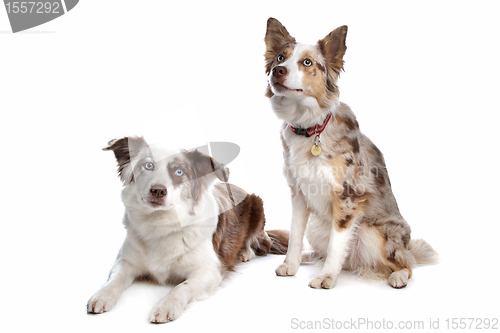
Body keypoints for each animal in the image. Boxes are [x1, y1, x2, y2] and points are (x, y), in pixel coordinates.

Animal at [87, 136, 288, 320]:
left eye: (179, 171)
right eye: (148, 166)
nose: (158, 191)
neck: (161, 222)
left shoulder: (209, 270)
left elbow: (181, 287)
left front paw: (167, 305)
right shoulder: (125, 262)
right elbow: (115, 279)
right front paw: (102, 295)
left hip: (257, 204)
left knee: (256, 241)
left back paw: (245, 253)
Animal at [264, 18, 436, 288]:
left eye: (307, 62)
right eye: (281, 57)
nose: (277, 70)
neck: (309, 127)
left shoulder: (347, 196)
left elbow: (337, 244)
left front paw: (326, 277)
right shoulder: (299, 193)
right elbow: (295, 235)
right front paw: (290, 265)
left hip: (377, 232)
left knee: (405, 263)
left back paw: (397, 276)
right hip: (317, 227)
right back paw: (308, 258)